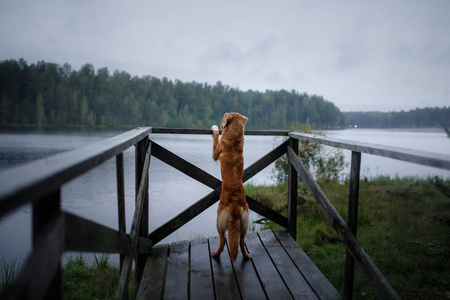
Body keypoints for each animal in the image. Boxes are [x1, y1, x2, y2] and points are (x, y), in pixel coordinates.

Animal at [210, 111, 251, 262]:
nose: (225, 113)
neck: (235, 141)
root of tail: (234, 205)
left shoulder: (216, 152)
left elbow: (217, 137)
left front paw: (216, 128)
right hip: (245, 224)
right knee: (241, 242)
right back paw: (246, 256)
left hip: (219, 221)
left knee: (222, 241)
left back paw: (215, 254)